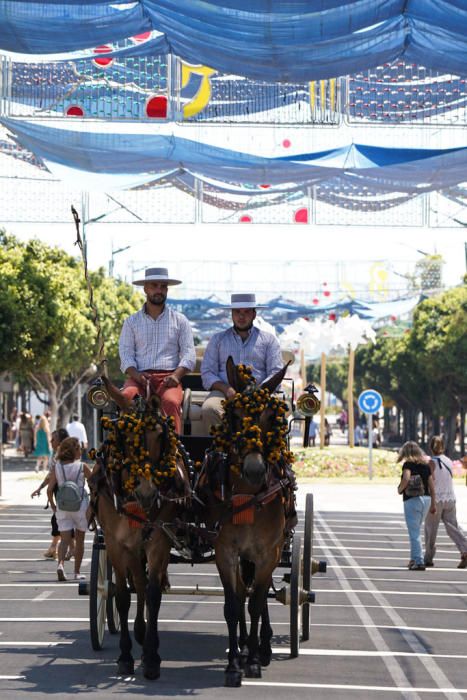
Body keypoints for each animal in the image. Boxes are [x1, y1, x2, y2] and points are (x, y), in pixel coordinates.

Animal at [88, 378, 191, 680]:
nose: (146, 492)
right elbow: (122, 595)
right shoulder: (115, 543)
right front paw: (125, 656)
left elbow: (154, 595)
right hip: (131, 547)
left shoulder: (159, 541)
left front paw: (152, 657)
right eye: (123, 439)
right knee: (137, 582)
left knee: (146, 584)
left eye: (159, 435)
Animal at [198, 358, 296, 688]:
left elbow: (256, 602)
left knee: (259, 596)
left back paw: (262, 647)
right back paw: (242, 646)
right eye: (235, 416)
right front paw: (233, 665)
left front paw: (253, 660)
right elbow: (233, 604)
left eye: (271, 417)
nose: (255, 470)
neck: (249, 495)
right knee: (244, 592)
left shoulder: (269, 553)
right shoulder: (226, 552)